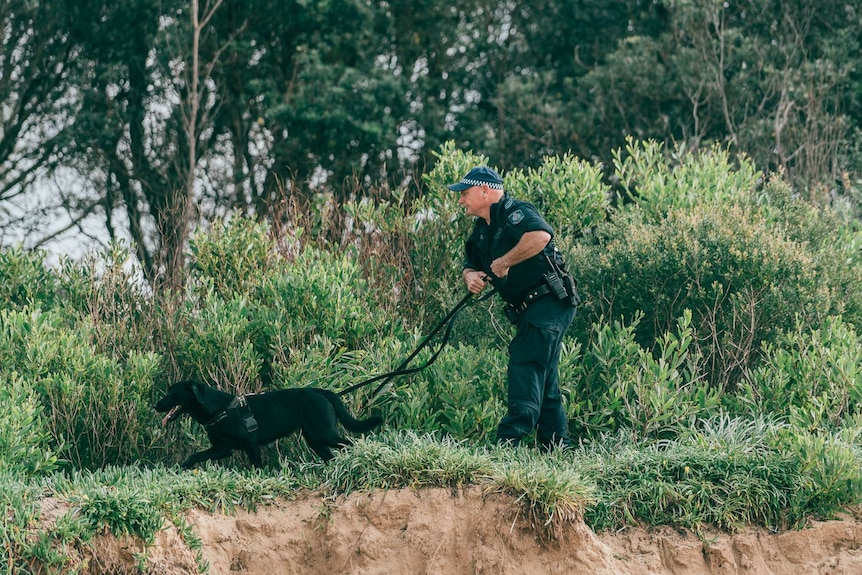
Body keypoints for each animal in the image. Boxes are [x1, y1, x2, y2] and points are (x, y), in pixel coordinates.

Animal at [156, 380, 384, 470]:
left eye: (171, 393)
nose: (155, 405)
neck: (218, 409)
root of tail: (321, 391)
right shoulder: (222, 449)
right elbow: (195, 456)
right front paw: (183, 468)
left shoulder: (250, 445)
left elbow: (257, 467)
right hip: (314, 439)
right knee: (331, 455)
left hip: (325, 433)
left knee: (350, 443)